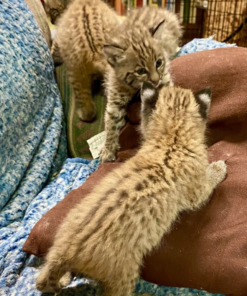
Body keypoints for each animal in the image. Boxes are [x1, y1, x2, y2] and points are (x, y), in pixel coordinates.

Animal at [35, 84, 227, 294]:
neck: (172, 137)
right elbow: (209, 180)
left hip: (63, 231)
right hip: (124, 273)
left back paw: (62, 278)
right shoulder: (197, 192)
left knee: (42, 278)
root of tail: (67, 250)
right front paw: (219, 167)